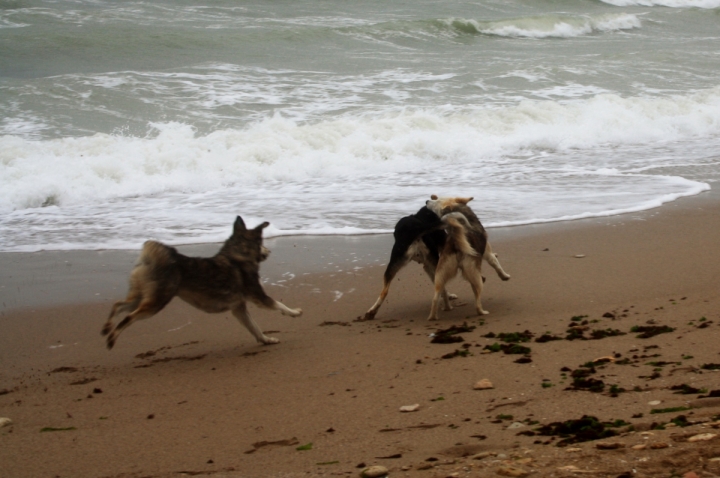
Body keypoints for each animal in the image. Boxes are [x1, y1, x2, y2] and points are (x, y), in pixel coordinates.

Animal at [100, 218, 300, 350]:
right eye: (262, 244)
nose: (269, 251)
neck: (237, 256)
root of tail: (150, 260)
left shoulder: (238, 308)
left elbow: (254, 327)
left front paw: (266, 340)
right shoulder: (258, 297)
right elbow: (279, 305)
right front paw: (294, 312)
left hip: (143, 296)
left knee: (118, 305)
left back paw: (107, 328)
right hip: (156, 302)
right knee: (128, 317)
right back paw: (111, 338)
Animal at [424, 196, 510, 324]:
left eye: (436, 200)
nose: (426, 201)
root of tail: (455, 243)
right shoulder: (488, 254)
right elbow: (496, 264)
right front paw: (505, 276)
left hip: (440, 274)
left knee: (435, 298)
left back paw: (435, 316)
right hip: (474, 275)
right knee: (477, 302)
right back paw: (482, 312)